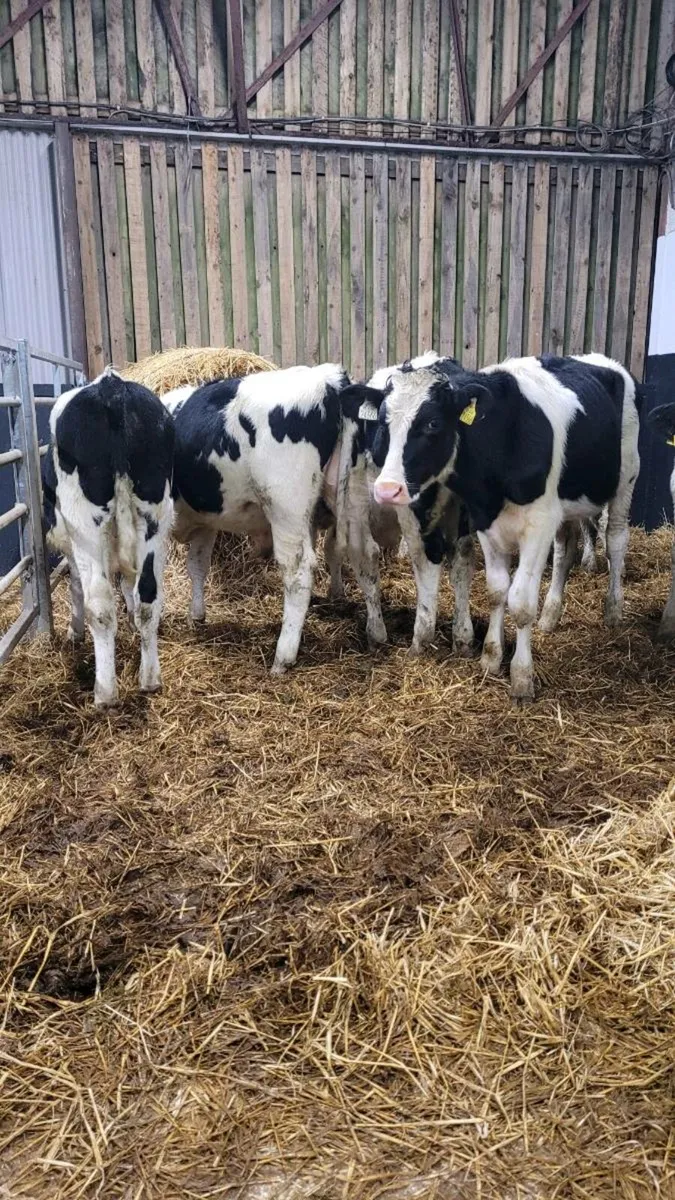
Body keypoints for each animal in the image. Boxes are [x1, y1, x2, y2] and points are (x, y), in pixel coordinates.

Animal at [42, 371, 174, 707]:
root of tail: (111, 387)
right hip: (154, 516)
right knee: (149, 599)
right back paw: (150, 679)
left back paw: (105, 693)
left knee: (100, 606)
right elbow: (130, 589)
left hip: (86, 524)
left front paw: (74, 632)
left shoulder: (72, 544)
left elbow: (76, 586)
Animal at [163, 363, 386, 673]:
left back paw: (283, 657)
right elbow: (197, 566)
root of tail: (328, 378)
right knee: (365, 555)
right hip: (353, 499)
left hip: (286, 507)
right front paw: (196, 616)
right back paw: (377, 633)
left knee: (298, 570)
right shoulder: (205, 522)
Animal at [358, 352, 640, 701]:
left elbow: (520, 602)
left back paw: (613, 611)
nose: (387, 489)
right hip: (566, 507)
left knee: (616, 541)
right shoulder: (485, 522)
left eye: (433, 423)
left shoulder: (538, 525)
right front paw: (491, 658)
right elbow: (496, 591)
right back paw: (550, 616)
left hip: (625, 482)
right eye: (383, 421)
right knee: (564, 551)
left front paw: (521, 677)